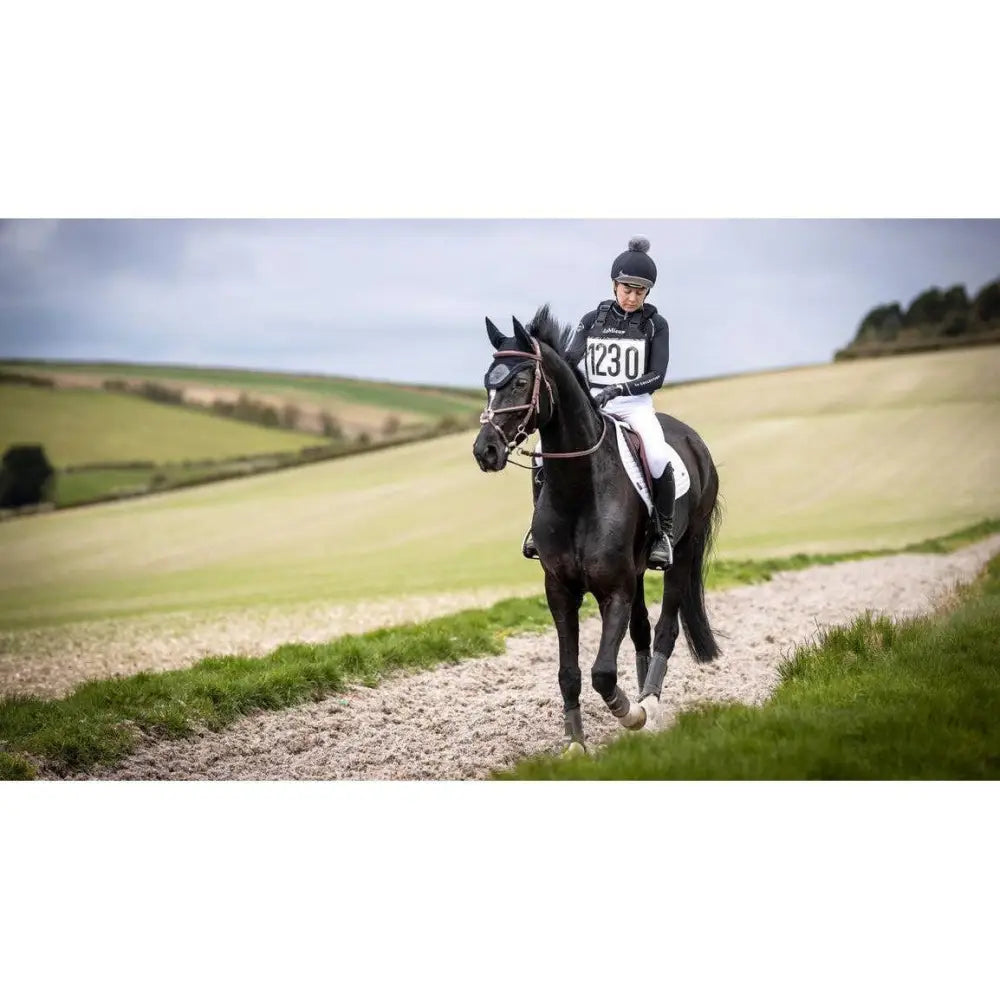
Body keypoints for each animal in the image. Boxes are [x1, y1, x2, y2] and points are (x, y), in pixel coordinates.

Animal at [472, 305, 723, 754]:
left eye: (520, 382)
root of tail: (694, 441)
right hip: (638, 572)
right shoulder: (560, 590)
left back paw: (649, 704)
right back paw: (643, 697)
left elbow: (602, 672)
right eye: (487, 382)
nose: (485, 451)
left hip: (683, 553)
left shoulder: (614, 590)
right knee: (641, 632)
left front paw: (631, 714)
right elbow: (568, 672)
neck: (579, 490)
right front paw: (575, 744)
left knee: (665, 630)